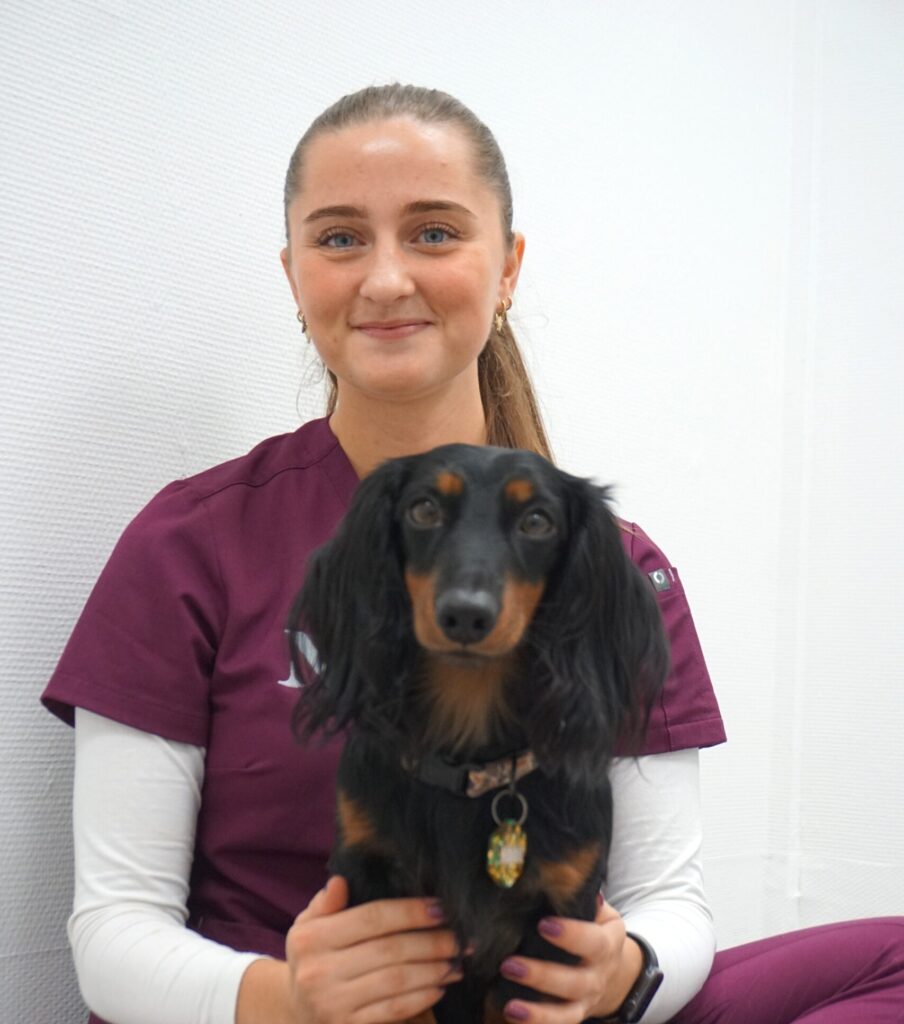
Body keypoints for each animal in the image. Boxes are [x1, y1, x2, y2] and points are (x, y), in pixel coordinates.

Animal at [288, 444, 669, 1023]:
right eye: (423, 509)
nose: (465, 615)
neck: (468, 763)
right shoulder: (371, 886)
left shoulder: (558, 920)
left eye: (537, 520)